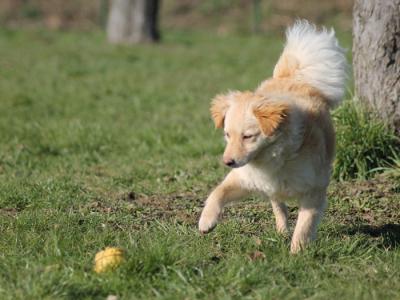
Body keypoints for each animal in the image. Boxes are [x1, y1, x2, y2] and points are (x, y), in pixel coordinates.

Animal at [198, 19, 346, 252]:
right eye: (227, 135)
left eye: (248, 136)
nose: (227, 162)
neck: (275, 158)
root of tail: (293, 77)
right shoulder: (242, 178)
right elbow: (217, 192)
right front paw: (206, 221)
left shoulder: (314, 190)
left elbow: (304, 226)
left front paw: (297, 253)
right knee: (277, 203)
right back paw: (281, 229)